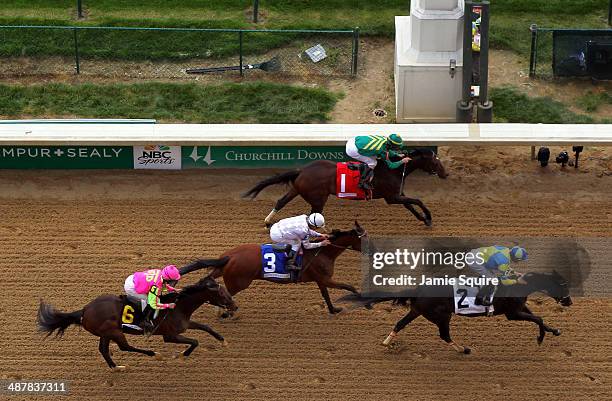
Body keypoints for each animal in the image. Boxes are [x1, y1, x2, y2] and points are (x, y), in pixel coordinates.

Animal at [36, 270, 237, 370]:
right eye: (222, 293)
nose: (234, 307)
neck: (179, 307)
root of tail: (85, 310)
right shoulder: (170, 336)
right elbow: (194, 341)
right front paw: (182, 355)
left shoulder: (185, 325)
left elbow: (206, 327)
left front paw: (223, 341)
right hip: (114, 331)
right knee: (125, 347)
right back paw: (154, 354)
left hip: (106, 333)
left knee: (104, 350)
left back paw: (116, 367)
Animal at [192, 222, 364, 312]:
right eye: (364, 238)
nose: (369, 249)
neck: (323, 253)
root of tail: (230, 256)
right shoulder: (325, 279)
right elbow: (348, 287)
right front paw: (363, 300)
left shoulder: (321, 280)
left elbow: (326, 295)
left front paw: (334, 310)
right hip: (238, 282)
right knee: (225, 293)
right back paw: (225, 311)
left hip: (224, 271)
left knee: (210, 278)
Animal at [241, 148, 448, 228]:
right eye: (436, 162)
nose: (446, 174)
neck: (393, 169)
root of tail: (303, 170)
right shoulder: (392, 197)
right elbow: (418, 200)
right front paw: (429, 217)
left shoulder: (398, 195)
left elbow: (411, 205)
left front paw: (424, 219)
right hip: (318, 198)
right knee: (312, 216)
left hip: (298, 190)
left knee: (281, 201)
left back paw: (268, 221)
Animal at [342, 270, 572, 352]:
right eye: (563, 285)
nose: (569, 302)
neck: (519, 285)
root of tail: (420, 290)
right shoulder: (512, 314)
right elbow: (538, 318)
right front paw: (540, 338)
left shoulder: (519, 308)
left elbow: (539, 318)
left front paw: (554, 331)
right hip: (442, 315)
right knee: (444, 335)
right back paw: (463, 349)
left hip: (418, 310)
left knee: (400, 323)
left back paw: (387, 342)